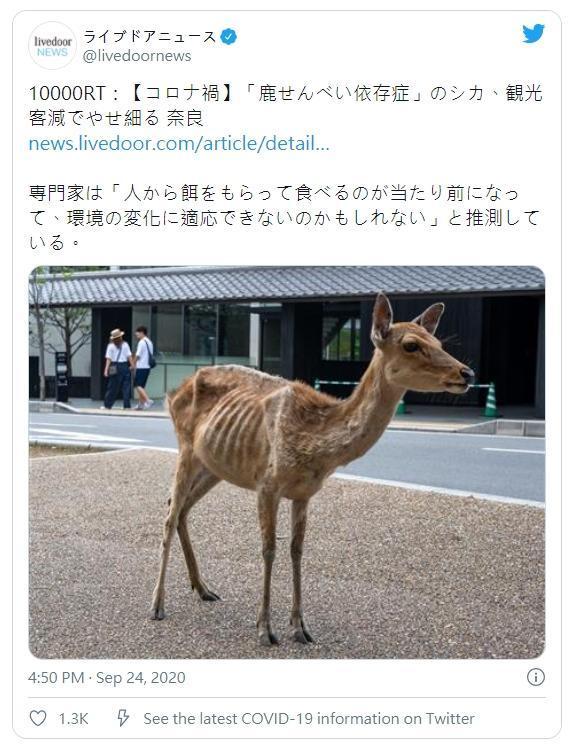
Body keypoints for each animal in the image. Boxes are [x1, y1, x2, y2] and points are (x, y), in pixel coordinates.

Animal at [151, 293, 475, 646]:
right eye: (412, 345)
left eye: (439, 341)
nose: (467, 372)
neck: (317, 449)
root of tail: (173, 392)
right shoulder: (267, 484)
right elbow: (269, 549)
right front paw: (265, 629)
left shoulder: (305, 493)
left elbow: (297, 550)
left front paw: (300, 627)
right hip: (185, 447)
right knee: (169, 514)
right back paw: (157, 605)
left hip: (215, 465)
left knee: (181, 508)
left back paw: (203, 588)